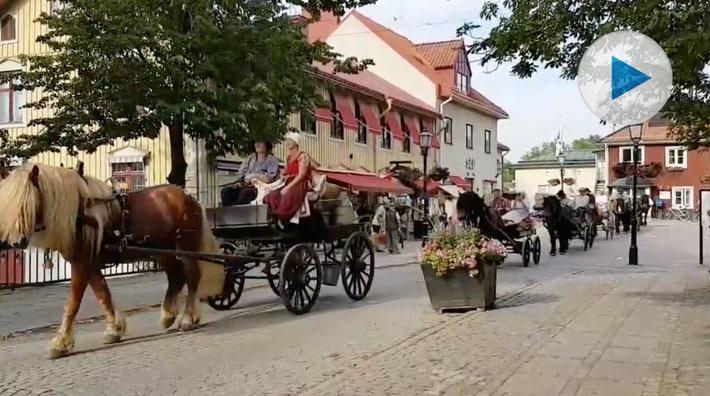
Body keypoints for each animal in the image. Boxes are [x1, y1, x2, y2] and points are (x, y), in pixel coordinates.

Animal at [0, 162, 225, 360]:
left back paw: (187, 318)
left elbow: (73, 302)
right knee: (176, 278)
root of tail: (189, 197)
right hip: (165, 252)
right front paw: (114, 330)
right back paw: (168, 315)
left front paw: (60, 343)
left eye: (28, 202)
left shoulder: (82, 263)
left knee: (192, 278)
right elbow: (103, 294)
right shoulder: (90, 263)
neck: (81, 212)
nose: (16, 242)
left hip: (185, 249)